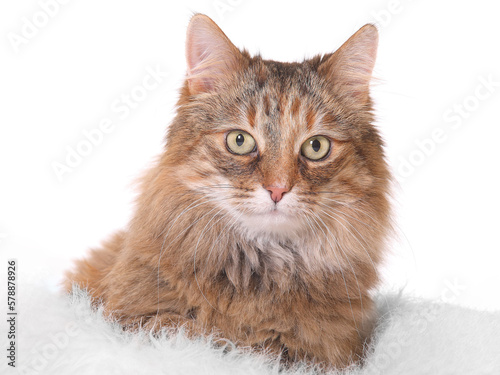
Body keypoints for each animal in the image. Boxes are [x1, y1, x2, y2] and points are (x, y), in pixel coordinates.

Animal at [63, 13, 390, 370]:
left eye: (316, 147)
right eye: (239, 140)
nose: (278, 189)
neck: (260, 272)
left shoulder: (331, 354)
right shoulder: (136, 319)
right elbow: (191, 332)